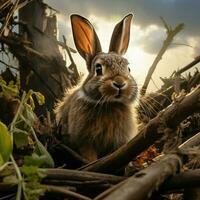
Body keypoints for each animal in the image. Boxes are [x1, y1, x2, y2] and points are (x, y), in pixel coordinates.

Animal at [55, 13, 138, 162]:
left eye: (128, 69)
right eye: (98, 69)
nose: (119, 83)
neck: (111, 104)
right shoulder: (84, 142)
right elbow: (89, 154)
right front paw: (91, 162)